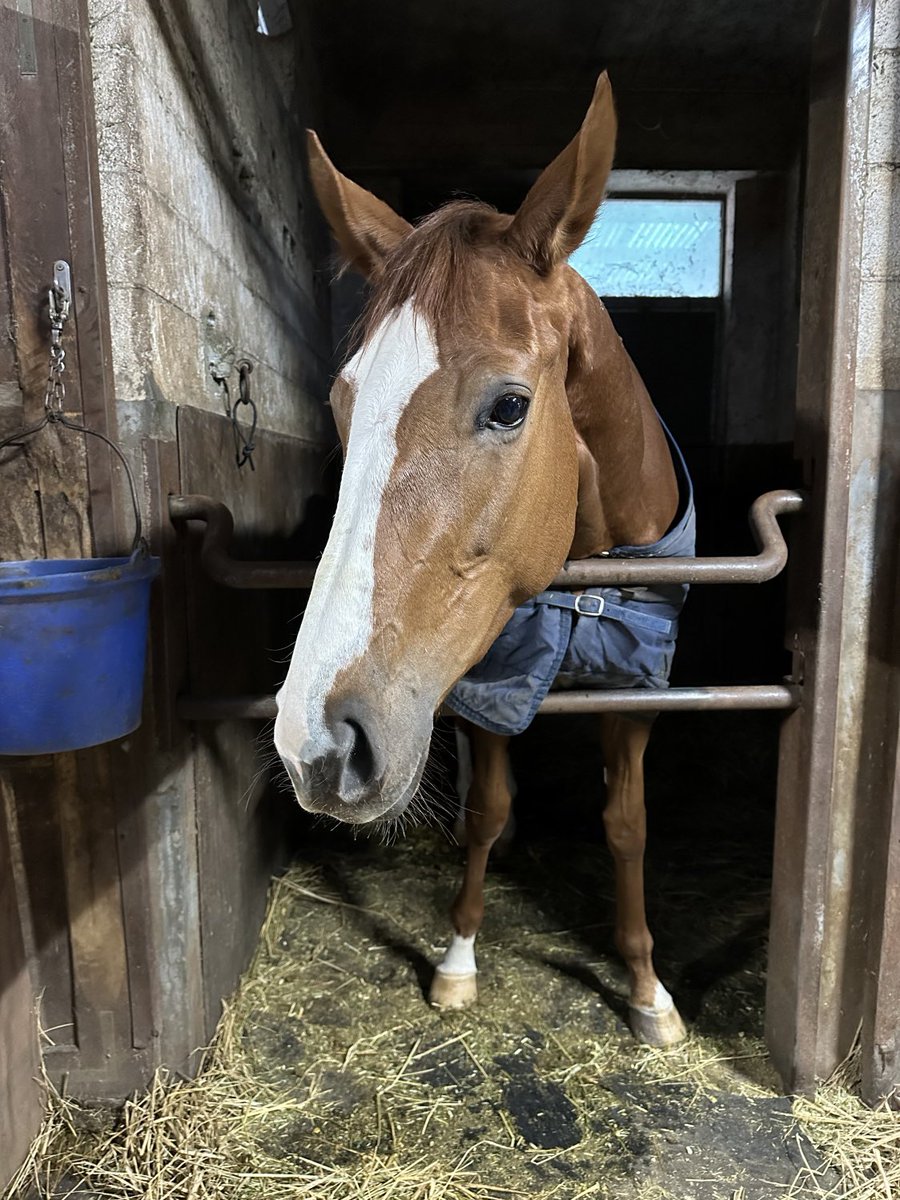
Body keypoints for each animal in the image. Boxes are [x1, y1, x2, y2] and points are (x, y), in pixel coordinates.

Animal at [274, 73, 688, 1047]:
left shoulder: (639, 692)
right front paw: (459, 959)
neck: (585, 585)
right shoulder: (494, 680)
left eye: (508, 406)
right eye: (344, 404)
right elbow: (490, 814)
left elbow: (627, 825)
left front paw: (648, 989)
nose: (315, 743)